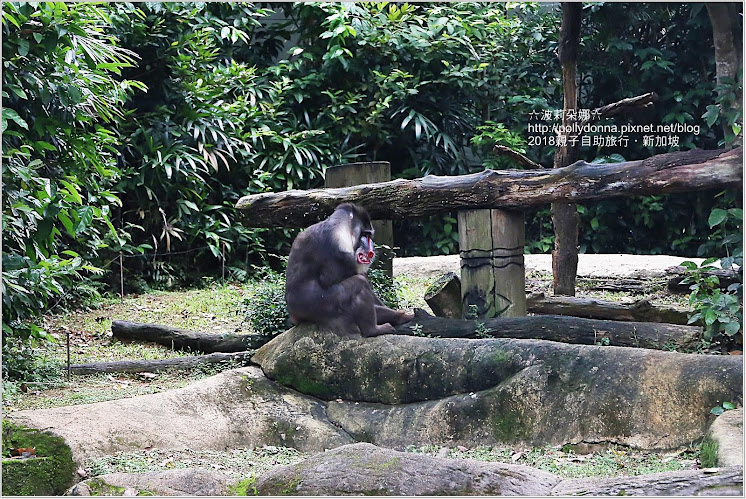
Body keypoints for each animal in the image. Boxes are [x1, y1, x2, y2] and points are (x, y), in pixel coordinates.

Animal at [285, 203, 414, 337]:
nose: (371, 250)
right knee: (360, 283)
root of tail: (294, 315)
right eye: (365, 235)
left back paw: (402, 317)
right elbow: (328, 279)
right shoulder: (339, 245)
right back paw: (373, 330)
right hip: (320, 305)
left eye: (369, 235)